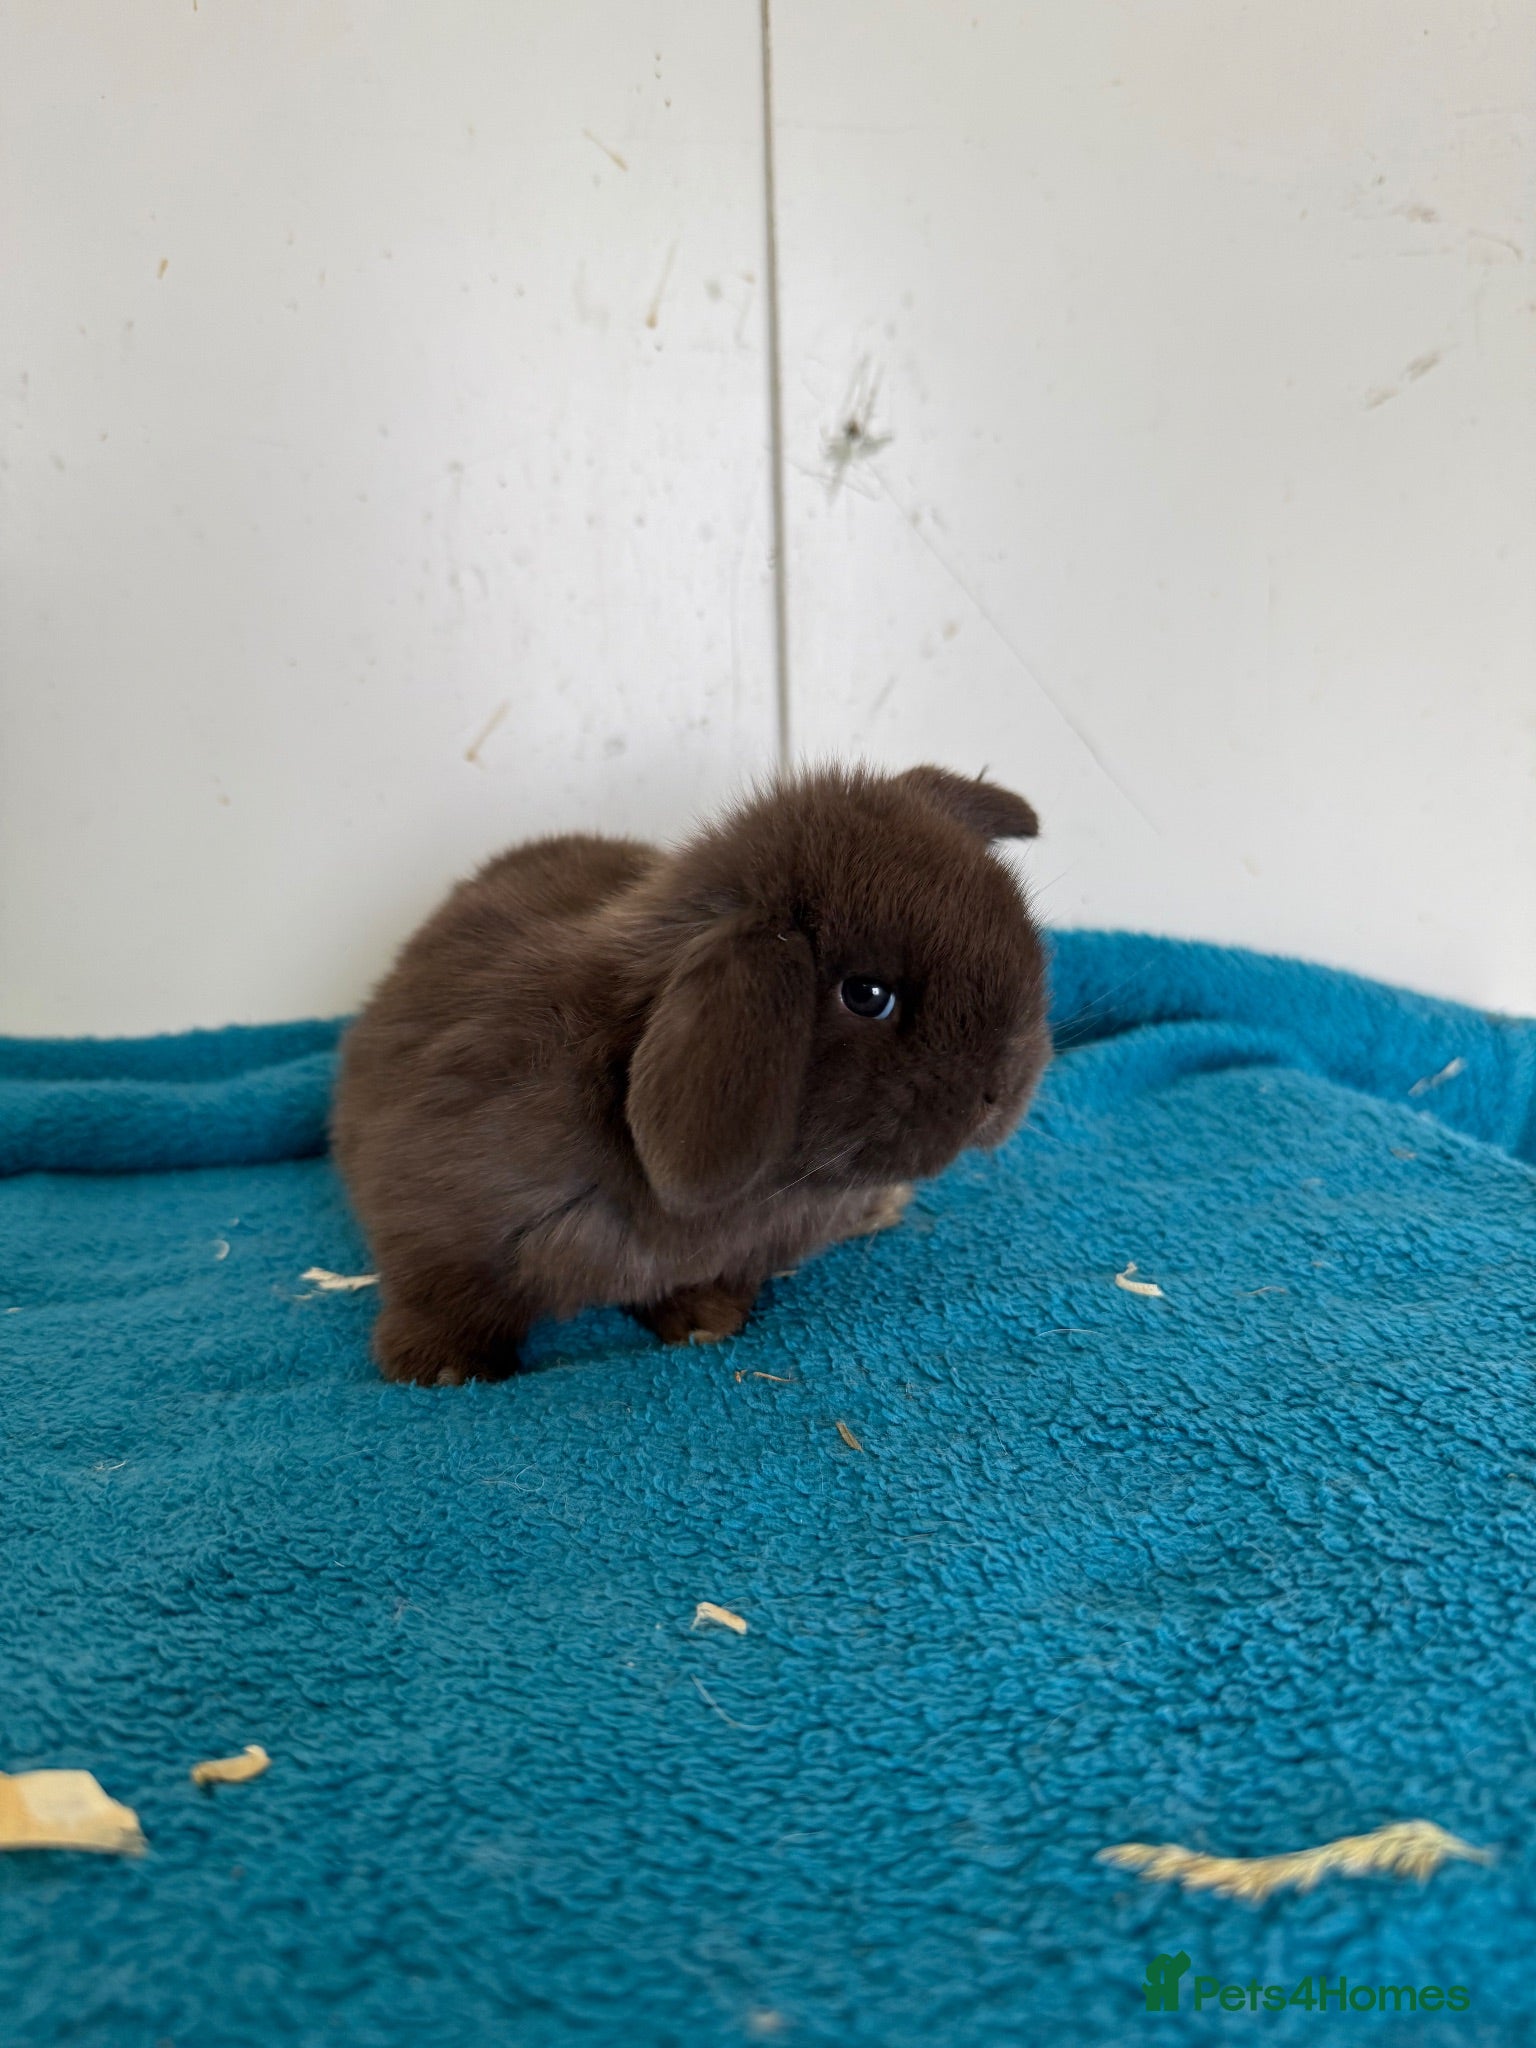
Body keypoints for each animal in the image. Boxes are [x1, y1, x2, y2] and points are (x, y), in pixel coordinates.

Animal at [330, 763, 1051, 1386]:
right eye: (867, 995)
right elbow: (443, 1292)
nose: (1004, 1090)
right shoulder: (434, 1209)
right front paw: (441, 1369)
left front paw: (706, 1321)